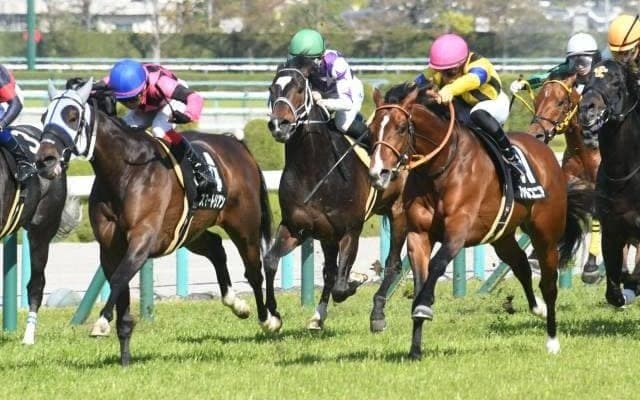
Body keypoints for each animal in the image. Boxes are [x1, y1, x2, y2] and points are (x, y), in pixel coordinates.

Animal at [35, 79, 278, 365]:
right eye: (43, 116)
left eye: (72, 117)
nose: (44, 160)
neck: (125, 171)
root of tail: (236, 143)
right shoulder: (110, 247)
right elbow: (120, 289)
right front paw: (125, 358)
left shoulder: (142, 239)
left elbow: (118, 279)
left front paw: (101, 323)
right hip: (190, 231)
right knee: (217, 247)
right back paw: (236, 303)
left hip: (244, 225)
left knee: (254, 270)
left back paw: (269, 319)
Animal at [263, 55, 408, 332]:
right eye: (271, 88)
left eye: (300, 88)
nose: (279, 125)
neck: (314, 171)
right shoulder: (296, 227)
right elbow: (271, 261)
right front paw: (272, 316)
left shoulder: (350, 230)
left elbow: (342, 285)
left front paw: (358, 278)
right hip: (326, 235)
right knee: (330, 271)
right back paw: (318, 317)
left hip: (399, 213)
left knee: (393, 263)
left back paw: (378, 314)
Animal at [368, 82, 591, 358]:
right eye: (371, 129)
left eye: (400, 127)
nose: (378, 173)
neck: (441, 167)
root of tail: (546, 152)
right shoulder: (418, 235)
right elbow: (420, 278)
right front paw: (415, 349)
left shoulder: (458, 230)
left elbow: (437, 264)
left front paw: (424, 306)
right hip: (502, 235)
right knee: (520, 264)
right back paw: (536, 307)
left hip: (546, 234)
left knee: (549, 283)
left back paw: (552, 340)